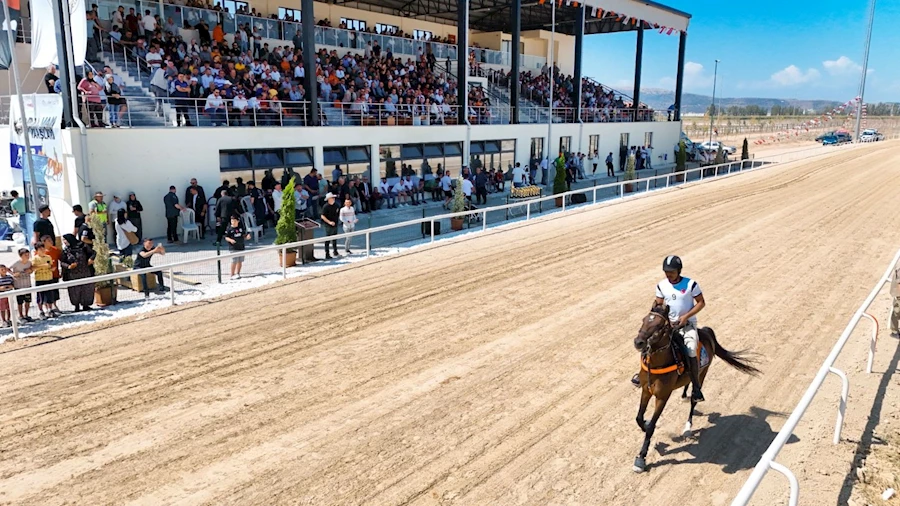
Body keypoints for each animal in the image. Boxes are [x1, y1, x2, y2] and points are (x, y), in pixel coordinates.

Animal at [628, 304, 764, 474]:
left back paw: (688, 426)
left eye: (659, 326)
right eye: (644, 320)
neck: (657, 365)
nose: (638, 342)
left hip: (702, 373)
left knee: (694, 397)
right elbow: (639, 417)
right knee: (688, 385)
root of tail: (706, 331)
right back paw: (684, 394)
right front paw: (645, 424)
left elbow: (652, 426)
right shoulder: (646, 391)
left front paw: (641, 458)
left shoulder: (662, 396)